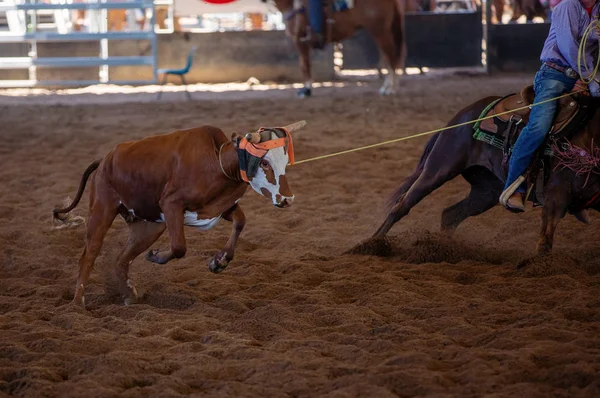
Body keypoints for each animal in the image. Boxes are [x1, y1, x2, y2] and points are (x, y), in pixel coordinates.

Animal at [268, 0, 408, 96]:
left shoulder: (299, 40)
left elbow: (304, 65)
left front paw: (306, 90)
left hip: (379, 31)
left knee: (391, 57)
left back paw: (390, 88)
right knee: (389, 57)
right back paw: (388, 86)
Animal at [372, 95, 596, 253]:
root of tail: (461, 116)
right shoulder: (556, 196)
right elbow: (545, 242)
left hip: (487, 190)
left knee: (451, 215)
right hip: (439, 169)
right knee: (402, 205)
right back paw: (372, 245)